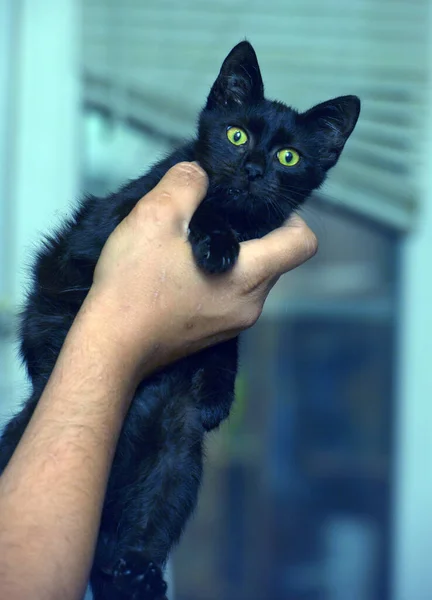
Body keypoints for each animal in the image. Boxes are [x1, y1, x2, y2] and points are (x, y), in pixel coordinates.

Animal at [0, 39, 360, 596]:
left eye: (288, 156)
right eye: (237, 135)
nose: (253, 169)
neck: (243, 221)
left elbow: (228, 340)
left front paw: (216, 391)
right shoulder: (107, 225)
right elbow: (205, 210)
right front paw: (216, 242)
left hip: (176, 456)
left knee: (144, 524)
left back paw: (137, 574)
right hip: (28, 428)